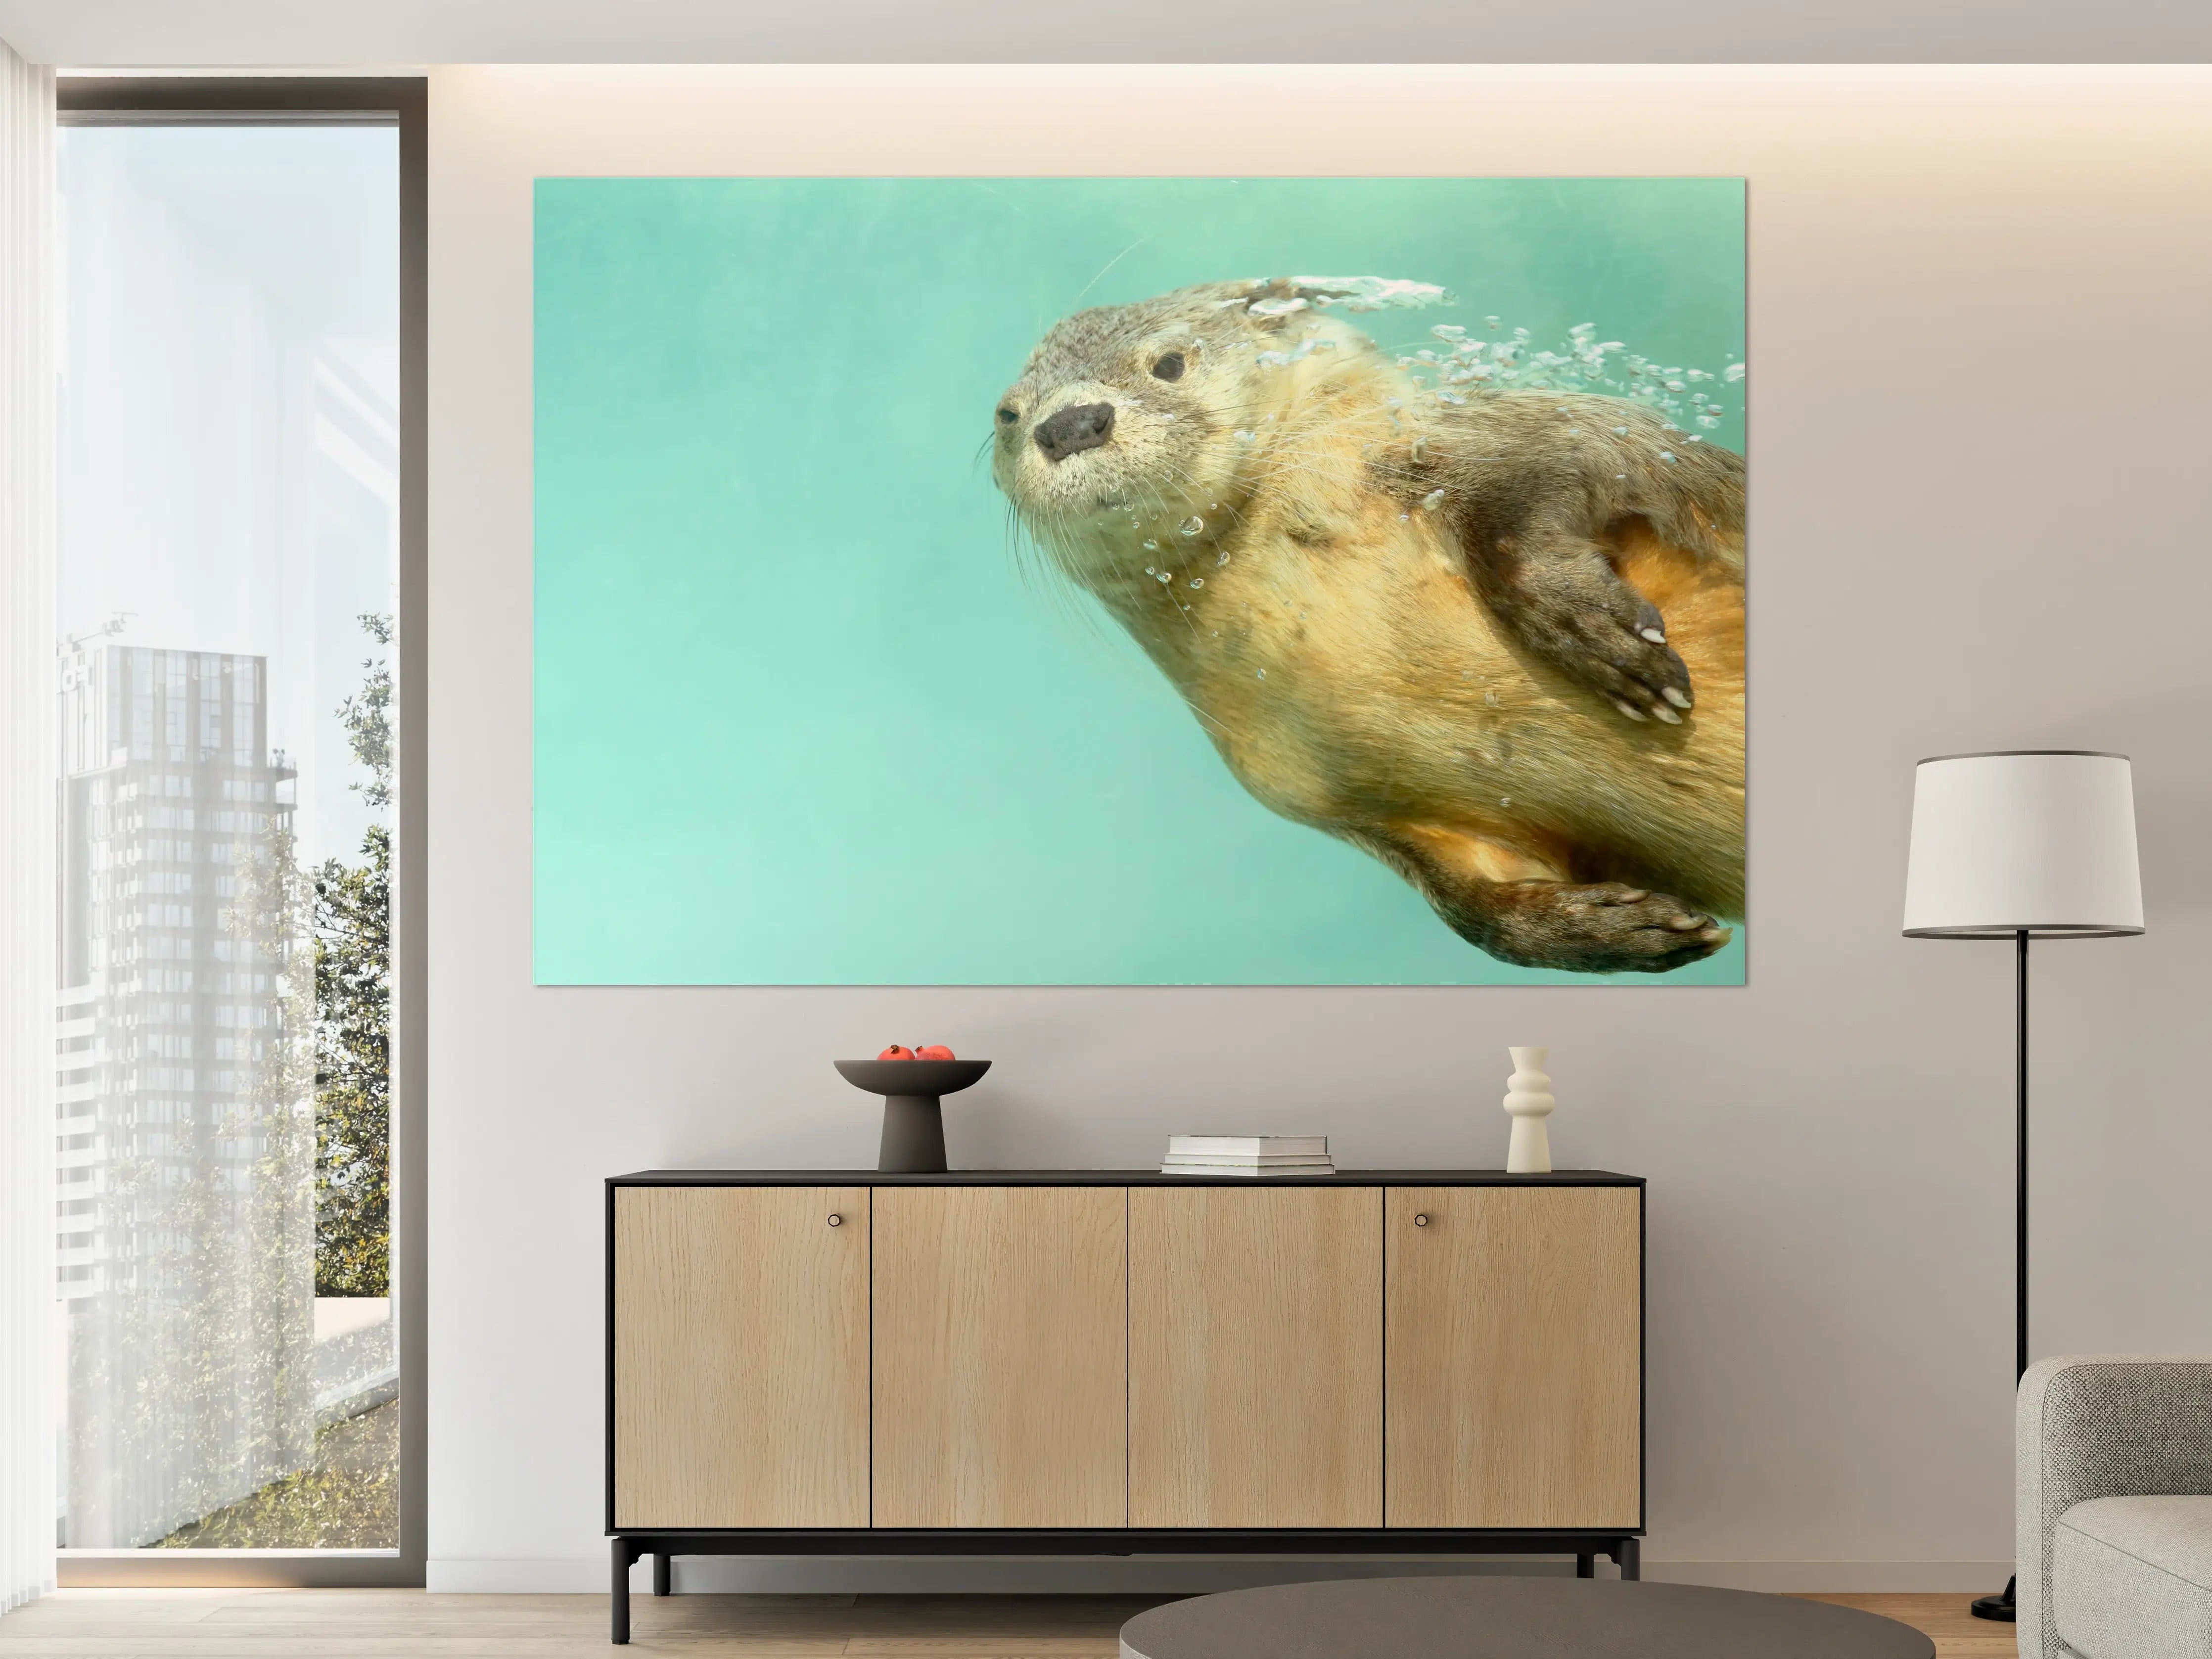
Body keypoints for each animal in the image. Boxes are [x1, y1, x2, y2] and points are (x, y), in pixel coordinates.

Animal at [991, 278, 1744, 975]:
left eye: (1170, 363)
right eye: (1007, 413)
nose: (1070, 424)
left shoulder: (1524, 431)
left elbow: (1564, 467)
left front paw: (1598, 637)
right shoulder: (1343, 804)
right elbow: (1476, 913)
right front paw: (1613, 929)